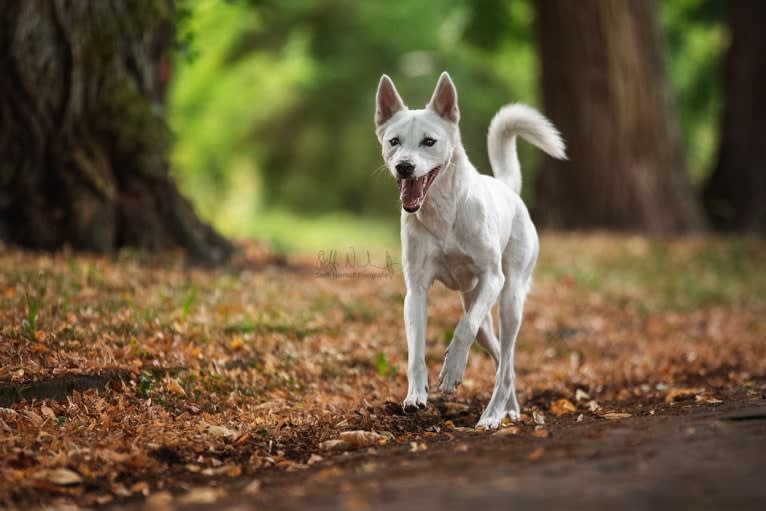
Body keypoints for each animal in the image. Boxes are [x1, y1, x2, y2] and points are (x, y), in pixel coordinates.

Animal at [376, 72, 568, 430]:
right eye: (394, 141)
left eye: (429, 141)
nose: (405, 167)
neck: (443, 213)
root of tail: (507, 187)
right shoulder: (416, 291)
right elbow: (415, 349)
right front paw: (416, 394)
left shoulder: (493, 277)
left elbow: (463, 328)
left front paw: (452, 371)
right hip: (482, 313)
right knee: (501, 359)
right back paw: (509, 408)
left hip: (509, 300)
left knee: (503, 360)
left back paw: (492, 415)